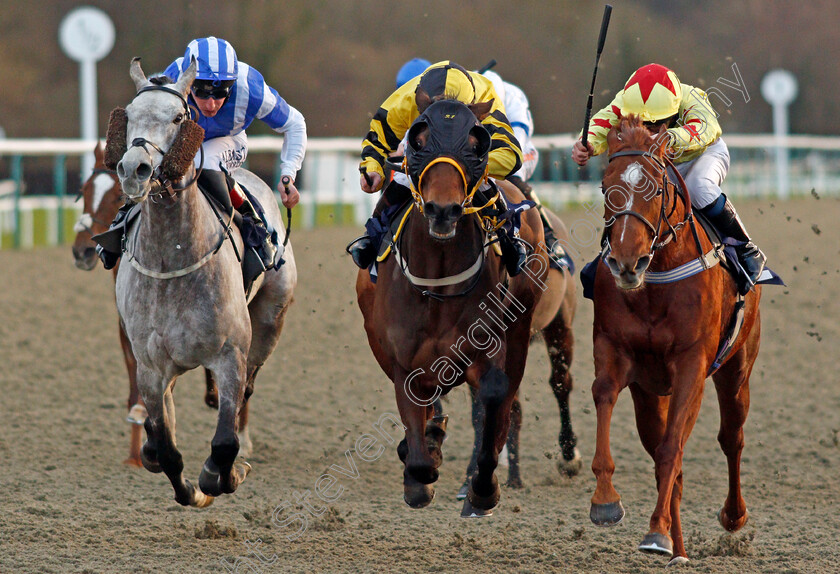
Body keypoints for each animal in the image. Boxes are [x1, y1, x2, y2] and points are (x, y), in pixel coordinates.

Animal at [71, 143, 256, 468]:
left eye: (116, 195)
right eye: (84, 191)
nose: (81, 251)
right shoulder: (130, 329)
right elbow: (139, 379)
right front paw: (137, 448)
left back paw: (241, 437)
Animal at [110, 58, 296, 508]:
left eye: (178, 118)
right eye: (131, 114)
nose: (134, 169)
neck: (173, 258)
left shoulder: (230, 357)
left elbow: (225, 443)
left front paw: (224, 475)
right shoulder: (151, 367)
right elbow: (166, 448)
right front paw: (189, 488)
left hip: (271, 319)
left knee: (250, 387)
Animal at [358, 101, 556, 520]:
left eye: (475, 144)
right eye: (418, 142)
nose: (443, 210)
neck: (439, 282)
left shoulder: (488, 350)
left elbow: (493, 402)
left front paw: (482, 489)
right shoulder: (402, 360)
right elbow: (417, 443)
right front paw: (421, 466)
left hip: (522, 328)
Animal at [584, 115, 760, 564]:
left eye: (657, 188)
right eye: (605, 186)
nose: (626, 262)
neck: (657, 275)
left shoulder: (691, 366)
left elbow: (671, 451)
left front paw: (654, 532)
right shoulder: (616, 353)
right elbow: (604, 395)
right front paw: (606, 501)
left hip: (737, 368)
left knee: (730, 438)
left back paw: (731, 516)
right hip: (650, 394)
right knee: (670, 456)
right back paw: (677, 548)